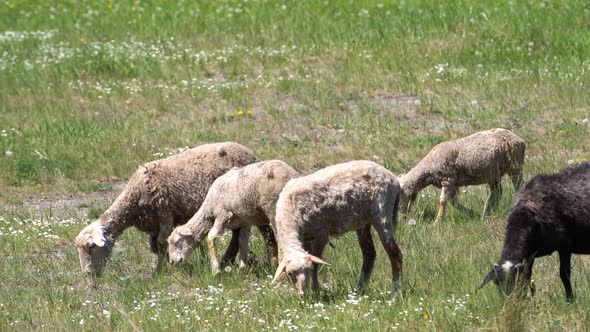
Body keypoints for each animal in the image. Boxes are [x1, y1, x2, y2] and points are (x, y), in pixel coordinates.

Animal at [75, 141, 270, 276]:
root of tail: (251, 154)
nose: (88, 275)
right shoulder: (153, 224)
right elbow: (154, 247)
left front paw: (163, 269)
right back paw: (227, 260)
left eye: (91, 246)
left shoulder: (165, 215)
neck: (135, 197)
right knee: (238, 233)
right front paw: (167, 264)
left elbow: (161, 243)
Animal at [170, 160, 300, 274]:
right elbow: (242, 240)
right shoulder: (245, 221)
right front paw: (242, 269)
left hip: (273, 209)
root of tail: (290, 173)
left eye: (177, 242)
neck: (209, 210)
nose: (172, 262)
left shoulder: (223, 215)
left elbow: (211, 238)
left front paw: (216, 270)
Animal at [272, 161, 402, 296]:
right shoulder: (307, 238)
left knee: (395, 254)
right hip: (363, 221)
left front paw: (316, 290)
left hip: (382, 212)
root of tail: (393, 178)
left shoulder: (321, 233)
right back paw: (359, 289)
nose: (303, 294)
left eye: (308, 270)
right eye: (289, 273)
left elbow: (316, 264)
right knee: (369, 254)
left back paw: (396, 290)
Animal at [480, 162, 590, 302]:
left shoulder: (564, 246)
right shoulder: (529, 255)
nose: (509, 302)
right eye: (497, 283)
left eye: (514, 281)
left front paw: (570, 300)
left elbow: (564, 274)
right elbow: (528, 277)